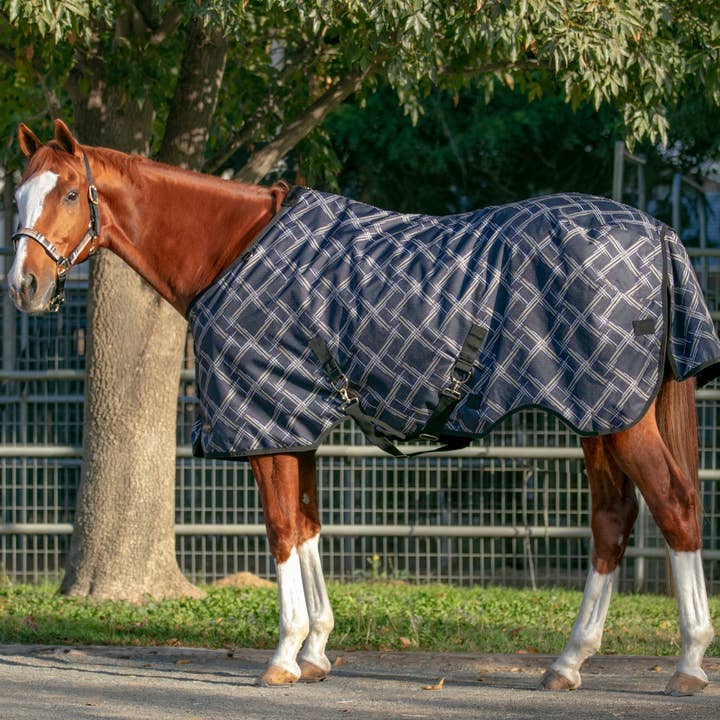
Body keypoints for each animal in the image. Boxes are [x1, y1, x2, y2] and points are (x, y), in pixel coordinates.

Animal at [7, 119, 717, 695]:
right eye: (17, 195)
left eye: (68, 194)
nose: (24, 286)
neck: (230, 246)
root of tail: (658, 232)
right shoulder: (295, 425)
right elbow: (308, 526)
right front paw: (317, 651)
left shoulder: (265, 422)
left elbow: (281, 530)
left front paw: (284, 657)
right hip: (601, 415)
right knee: (612, 521)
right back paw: (568, 663)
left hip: (619, 417)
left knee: (675, 505)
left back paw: (687, 664)